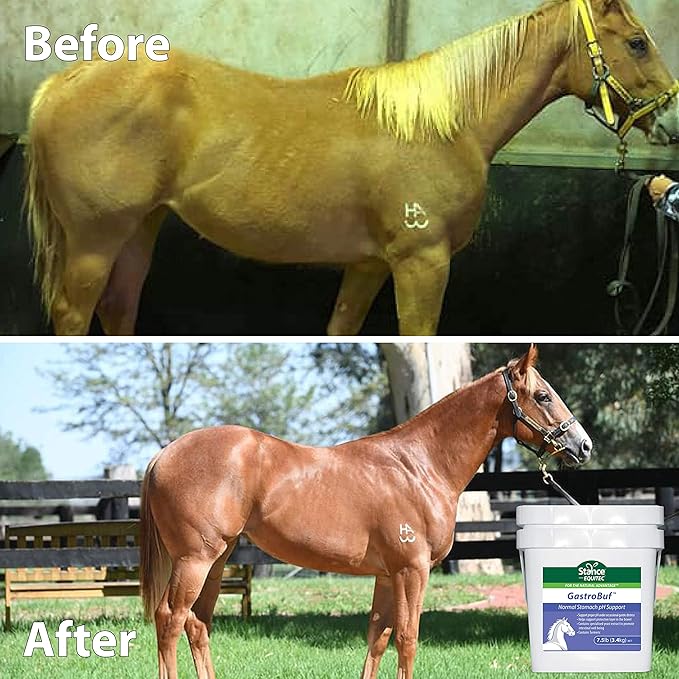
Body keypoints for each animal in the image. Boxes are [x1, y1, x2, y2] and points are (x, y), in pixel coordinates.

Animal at [23, 0, 679, 336]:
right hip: (94, 241)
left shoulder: (368, 265)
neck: (444, 122)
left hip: (142, 227)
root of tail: (64, 81)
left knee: (119, 308)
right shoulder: (421, 264)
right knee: (76, 316)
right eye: (638, 41)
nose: (669, 119)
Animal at [139, 345, 593, 679]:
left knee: (198, 624)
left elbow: (378, 636)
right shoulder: (412, 570)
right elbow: (407, 638)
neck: (419, 466)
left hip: (218, 559)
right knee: (170, 619)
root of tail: (163, 454)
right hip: (195, 560)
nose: (583, 445)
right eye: (543, 396)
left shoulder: (387, 575)